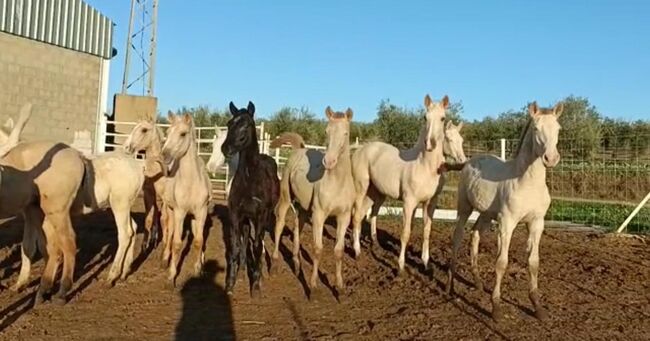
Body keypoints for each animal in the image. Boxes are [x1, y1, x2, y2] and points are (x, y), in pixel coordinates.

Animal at [159, 111, 210, 284]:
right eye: (167, 132)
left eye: (183, 134)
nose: (164, 155)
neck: (191, 182)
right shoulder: (179, 212)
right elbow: (176, 243)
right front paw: (171, 276)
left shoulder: (201, 212)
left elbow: (198, 241)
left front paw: (198, 270)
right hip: (170, 209)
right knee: (169, 231)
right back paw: (165, 259)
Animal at [350, 93, 446, 274]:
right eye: (425, 117)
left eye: (443, 118)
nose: (430, 144)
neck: (426, 166)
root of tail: (362, 149)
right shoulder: (409, 202)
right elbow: (405, 233)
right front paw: (401, 266)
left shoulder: (430, 203)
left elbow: (426, 231)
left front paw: (425, 264)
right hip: (361, 188)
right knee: (357, 216)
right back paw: (357, 251)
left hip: (376, 193)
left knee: (370, 214)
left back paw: (374, 243)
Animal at [446, 99, 560, 320]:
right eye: (536, 128)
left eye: (558, 128)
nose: (551, 158)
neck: (527, 183)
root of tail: (470, 161)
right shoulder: (507, 222)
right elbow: (501, 262)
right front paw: (496, 308)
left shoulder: (537, 223)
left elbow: (533, 262)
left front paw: (537, 307)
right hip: (465, 208)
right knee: (457, 238)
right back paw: (450, 286)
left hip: (486, 215)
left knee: (475, 235)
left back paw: (478, 283)